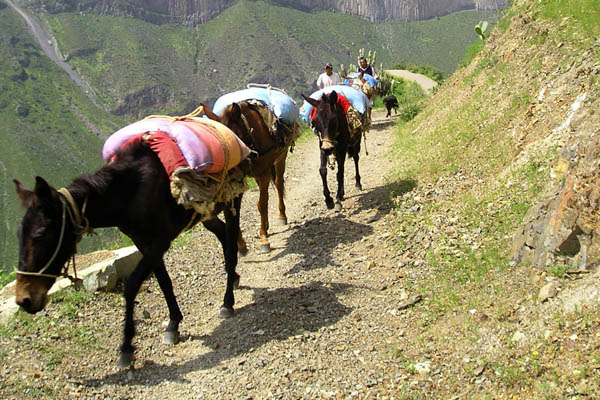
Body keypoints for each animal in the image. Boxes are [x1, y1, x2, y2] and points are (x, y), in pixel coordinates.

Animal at [14, 138, 245, 368]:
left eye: (40, 235)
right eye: (19, 234)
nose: (23, 299)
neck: (130, 194)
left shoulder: (160, 242)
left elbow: (132, 285)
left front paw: (126, 347)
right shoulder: (143, 242)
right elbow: (163, 281)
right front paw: (173, 324)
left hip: (232, 201)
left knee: (231, 245)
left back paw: (228, 302)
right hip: (207, 213)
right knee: (223, 236)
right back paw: (233, 277)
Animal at [202, 102, 296, 253]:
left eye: (233, 141)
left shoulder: (263, 173)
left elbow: (261, 204)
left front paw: (263, 239)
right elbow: (234, 212)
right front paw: (240, 244)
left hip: (280, 158)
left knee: (279, 184)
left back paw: (281, 216)